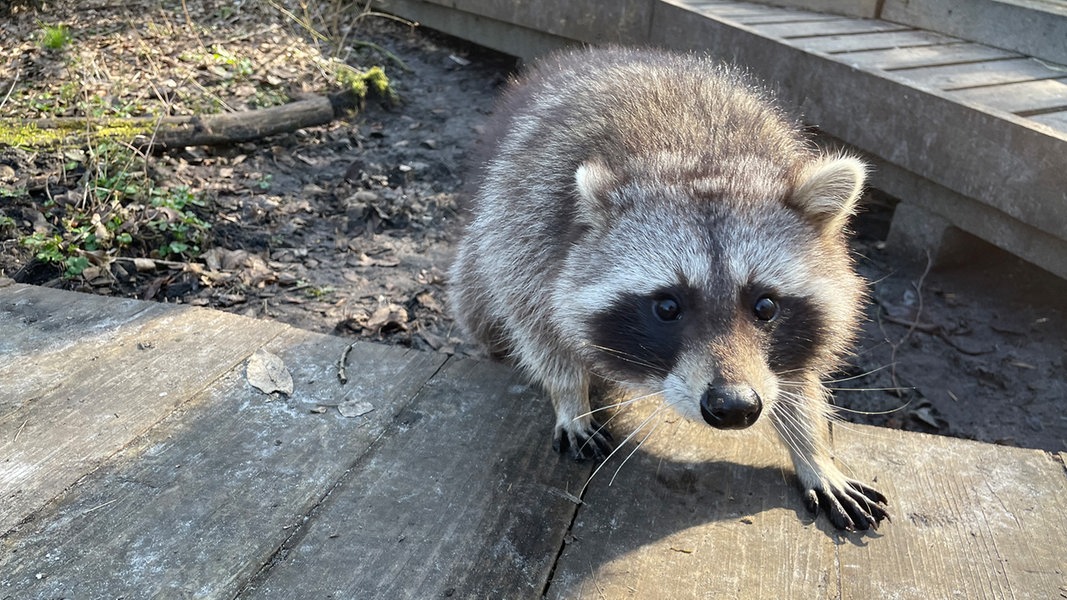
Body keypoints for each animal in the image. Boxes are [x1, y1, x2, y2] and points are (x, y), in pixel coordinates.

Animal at [450, 49, 892, 529]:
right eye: (666, 307)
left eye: (766, 306)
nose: (734, 406)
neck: (699, 159)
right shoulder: (529, 226)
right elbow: (536, 323)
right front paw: (569, 395)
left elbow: (794, 373)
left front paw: (812, 448)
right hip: (487, 234)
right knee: (479, 300)